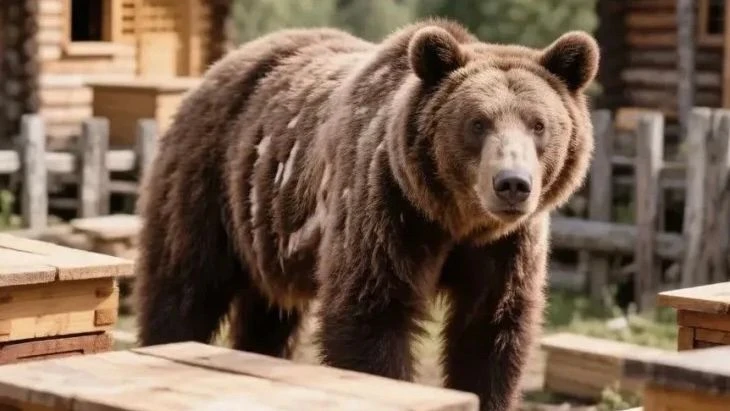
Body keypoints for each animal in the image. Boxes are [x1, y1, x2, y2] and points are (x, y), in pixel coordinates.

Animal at [134, 18, 599, 411]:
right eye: (478, 123)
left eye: (539, 124)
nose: (512, 184)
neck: (454, 218)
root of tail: (217, 68)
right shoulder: (387, 210)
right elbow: (372, 317)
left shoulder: (506, 247)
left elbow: (489, 334)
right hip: (209, 185)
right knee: (184, 287)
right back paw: (168, 340)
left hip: (267, 229)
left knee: (269, 314)